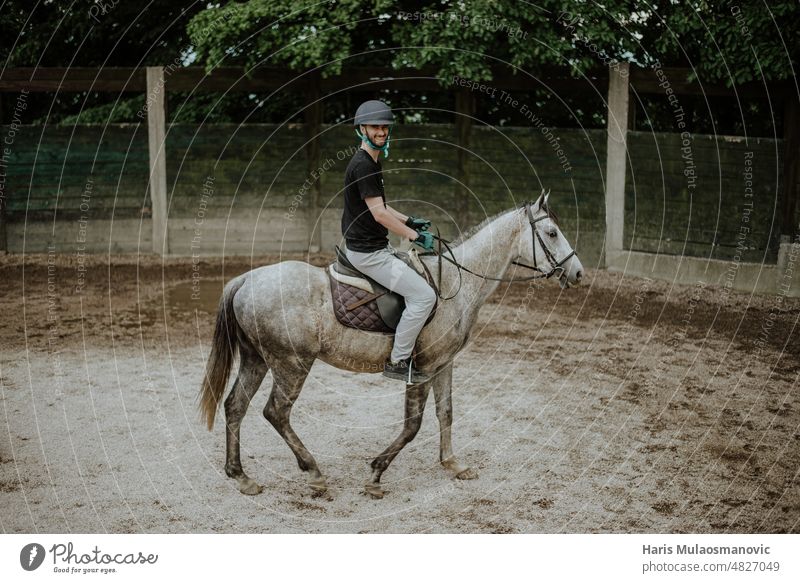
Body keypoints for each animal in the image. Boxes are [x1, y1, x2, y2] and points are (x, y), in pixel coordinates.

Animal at [198, 192, 588, 498]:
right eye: (551, 233)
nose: (579, 273)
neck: (458, 281)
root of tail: (246, 279)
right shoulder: (422, 367)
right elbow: (413, 426)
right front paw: (375, 474)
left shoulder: (444, 363)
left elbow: (446, 412)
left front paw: (453, 464)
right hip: (291, 364)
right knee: (276, 413)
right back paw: (314, 473)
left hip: (257, 359)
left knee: (235, 406)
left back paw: (242, 477)